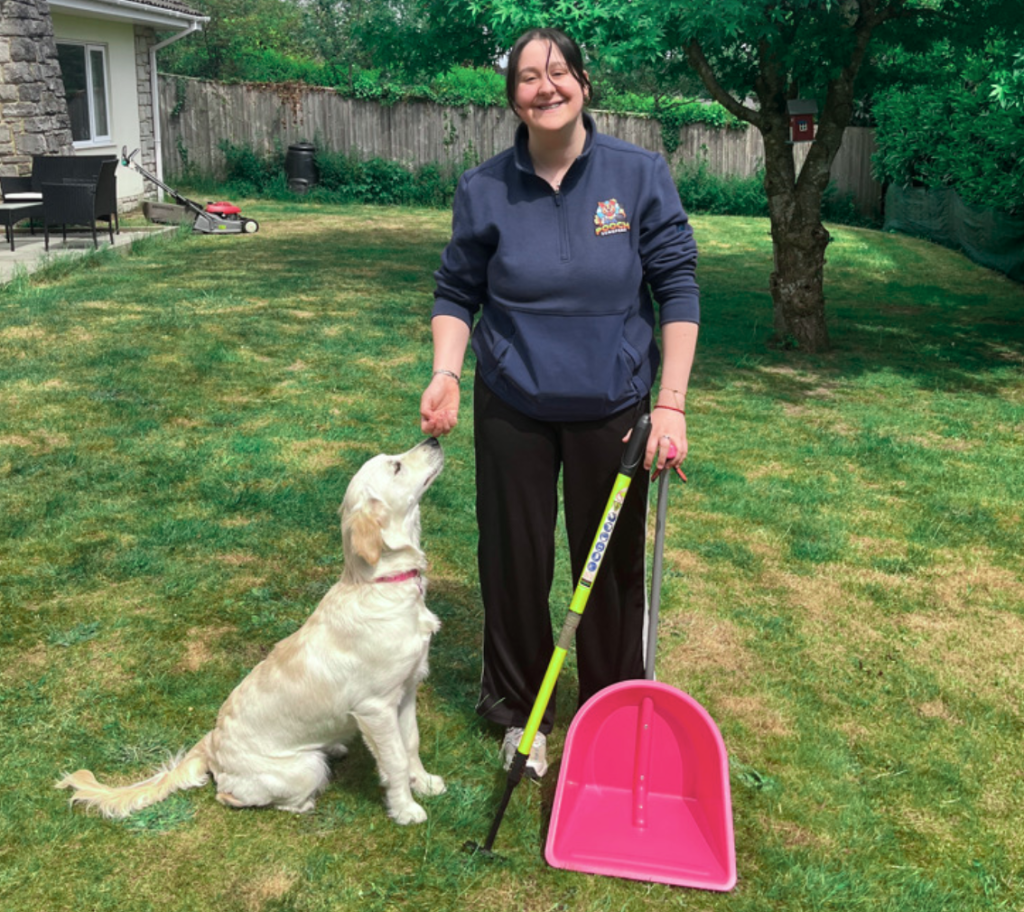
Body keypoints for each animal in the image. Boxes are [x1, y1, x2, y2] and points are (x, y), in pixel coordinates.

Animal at [57, 438, 446, 825]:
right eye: (396, 466)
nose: (433, 439)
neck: (380, 584)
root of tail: (210, 743)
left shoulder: (406, 690)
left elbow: (411, 744)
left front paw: (424, 782)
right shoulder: (376, 708)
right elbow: (394, 761)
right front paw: (406, 809)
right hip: (305, 767)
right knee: (234, 796)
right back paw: (302, 802)